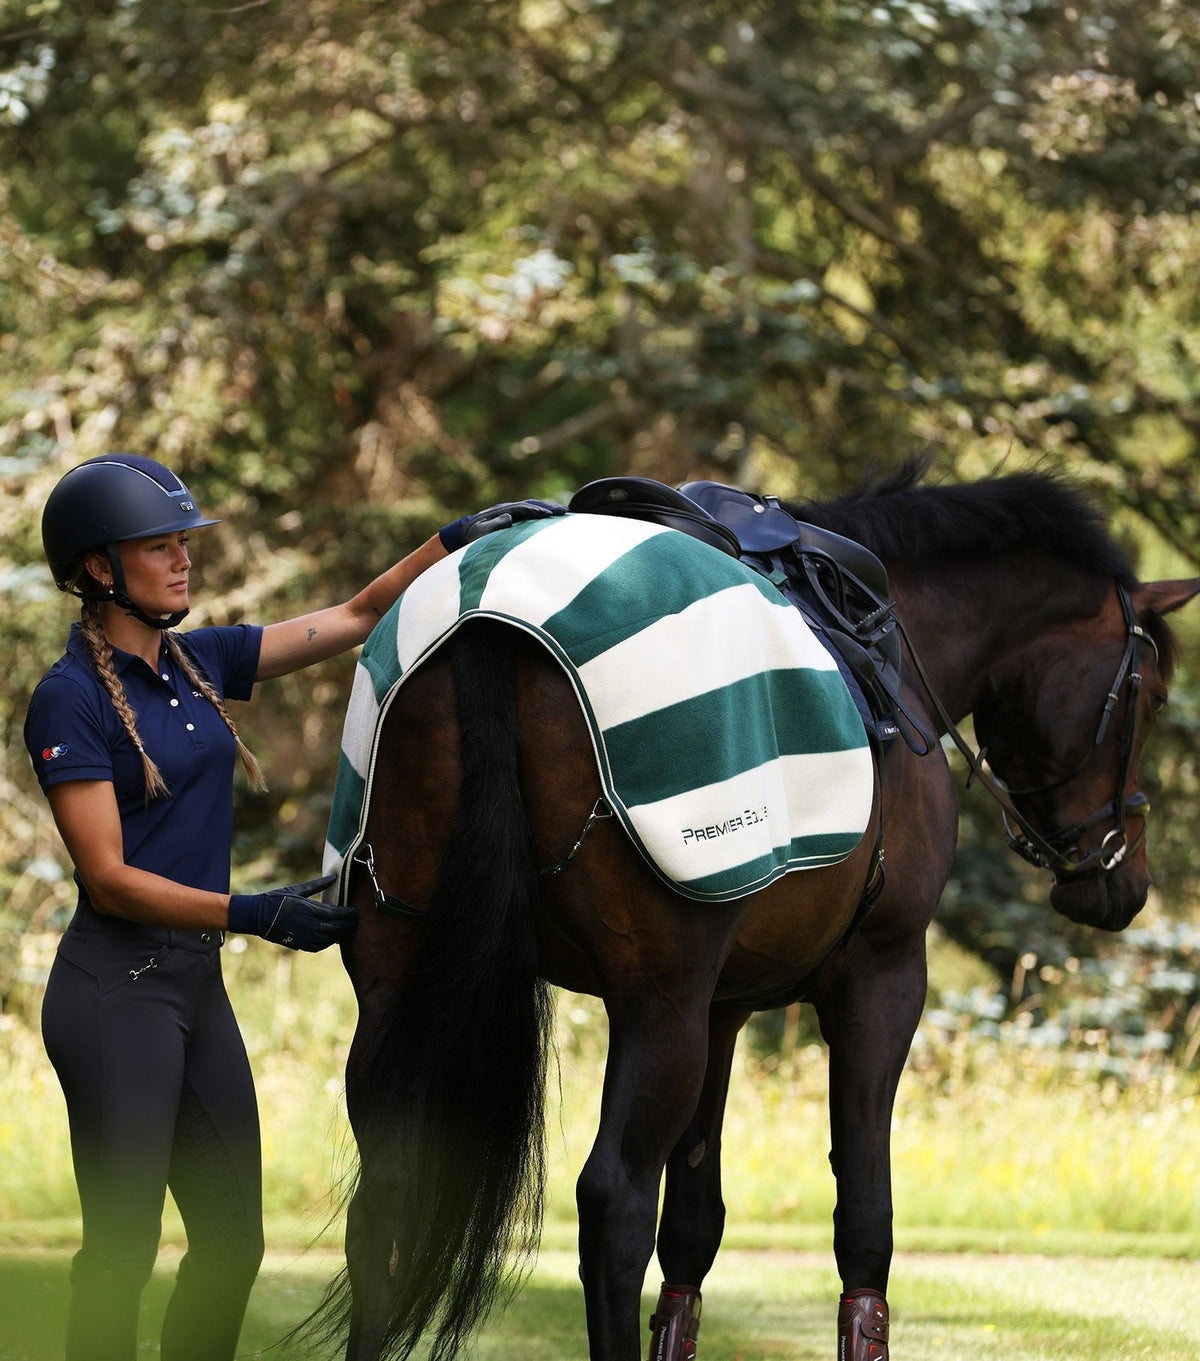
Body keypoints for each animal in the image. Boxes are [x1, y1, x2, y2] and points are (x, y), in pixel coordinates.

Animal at [310, 465, 1199, 1361]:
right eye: (1153, 695)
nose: (1120, 877)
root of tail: (489, 622)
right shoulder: (880, 979)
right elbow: (864, 1218)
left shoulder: (724, 1007)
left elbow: (694, 1228)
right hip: (657, 1003)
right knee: (614, 1201)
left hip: (400, 979)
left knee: (384, 1196)